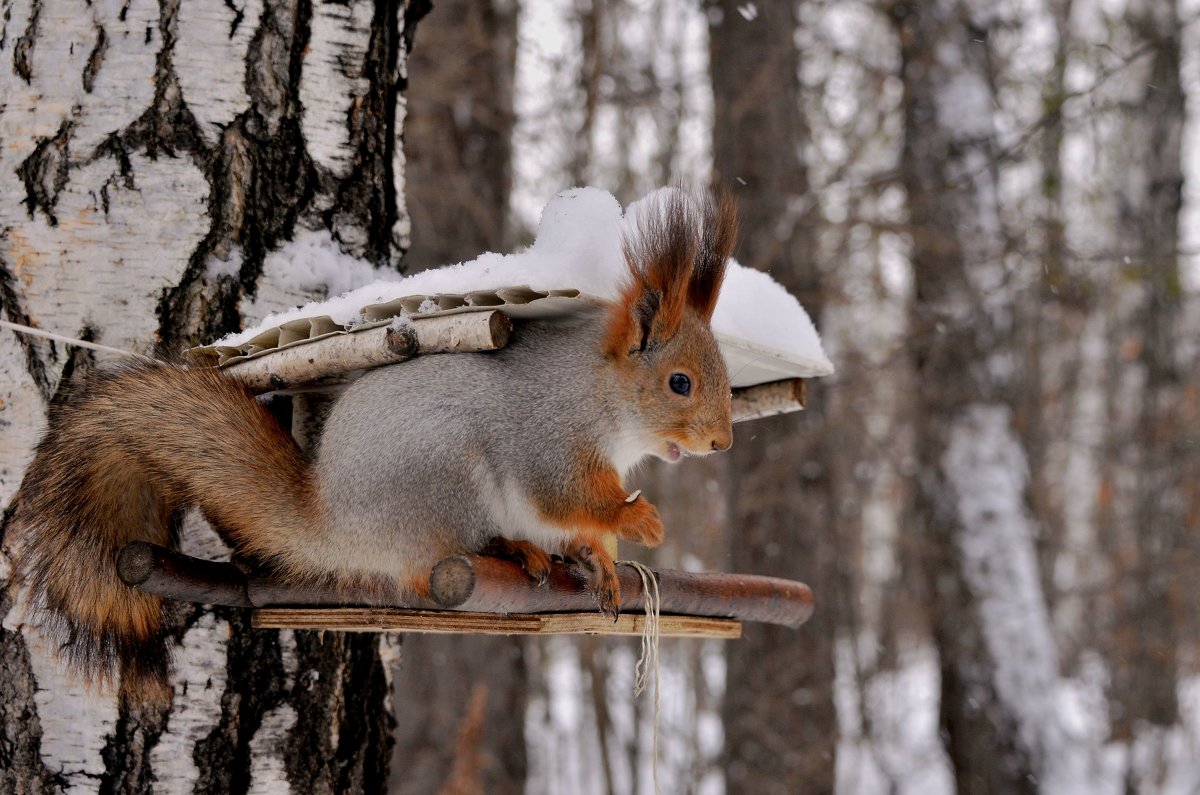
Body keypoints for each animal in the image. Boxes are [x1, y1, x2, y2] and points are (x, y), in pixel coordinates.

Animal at [4, 188, 734, 710]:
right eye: (680, 382)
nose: (722, 441)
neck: (602, 396)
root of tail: (336, 523)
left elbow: (585, 528)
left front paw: (604, 561)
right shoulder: (547, 437)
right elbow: (568, 496)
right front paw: (639, 518)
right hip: (445, 479)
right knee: (428, 563)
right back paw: (511, 549)